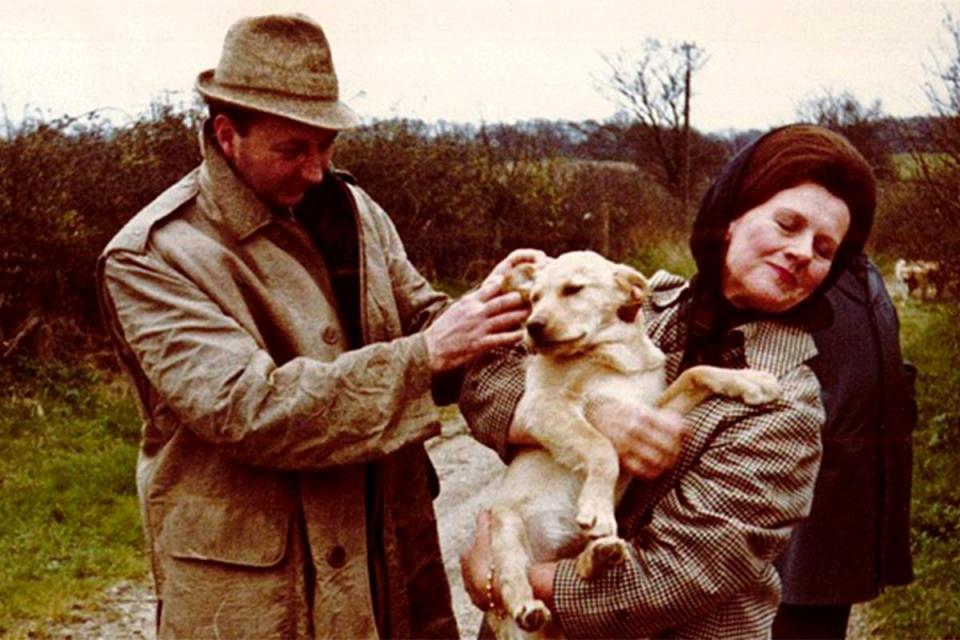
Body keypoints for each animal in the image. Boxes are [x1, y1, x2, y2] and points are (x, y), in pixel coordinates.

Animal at [488, 251, 780, 640]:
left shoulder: (651, 410)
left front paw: (753, 381)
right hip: (505, 526)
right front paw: (597, 506)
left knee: (576, 571)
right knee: (511, 582)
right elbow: (602, 448)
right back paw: (528, 607)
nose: (532, 327)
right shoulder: (543, 407)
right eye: (533, 298)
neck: (613, 354)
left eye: (573, 289)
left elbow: (696, 372)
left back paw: (601, 555)